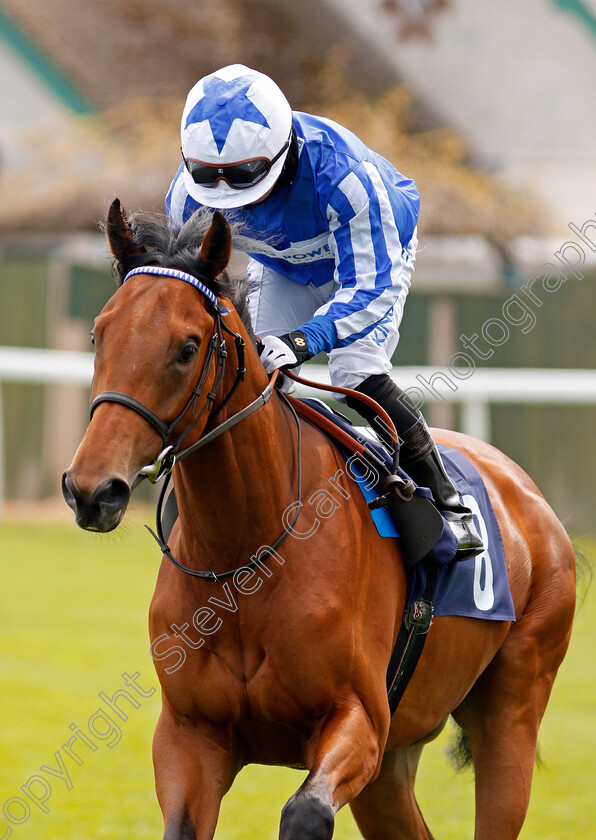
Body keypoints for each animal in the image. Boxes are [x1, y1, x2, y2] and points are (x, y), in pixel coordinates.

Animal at [61, 199, 576, 840]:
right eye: (98, 333)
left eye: (187, 346)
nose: (91, 489)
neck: (245, 557)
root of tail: (529, 497)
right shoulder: (189, 734)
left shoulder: (359, 721)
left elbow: (304, 812)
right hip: (393, 764)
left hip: (512, 710)